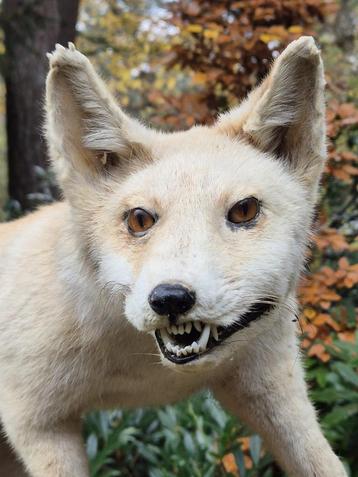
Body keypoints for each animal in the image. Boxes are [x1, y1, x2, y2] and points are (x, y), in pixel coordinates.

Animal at [0, 35, 346, 474]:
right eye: (139, 219)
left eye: (244, 211)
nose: (169, 298)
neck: (146, 374)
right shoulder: (39, 425)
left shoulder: (272, 387)